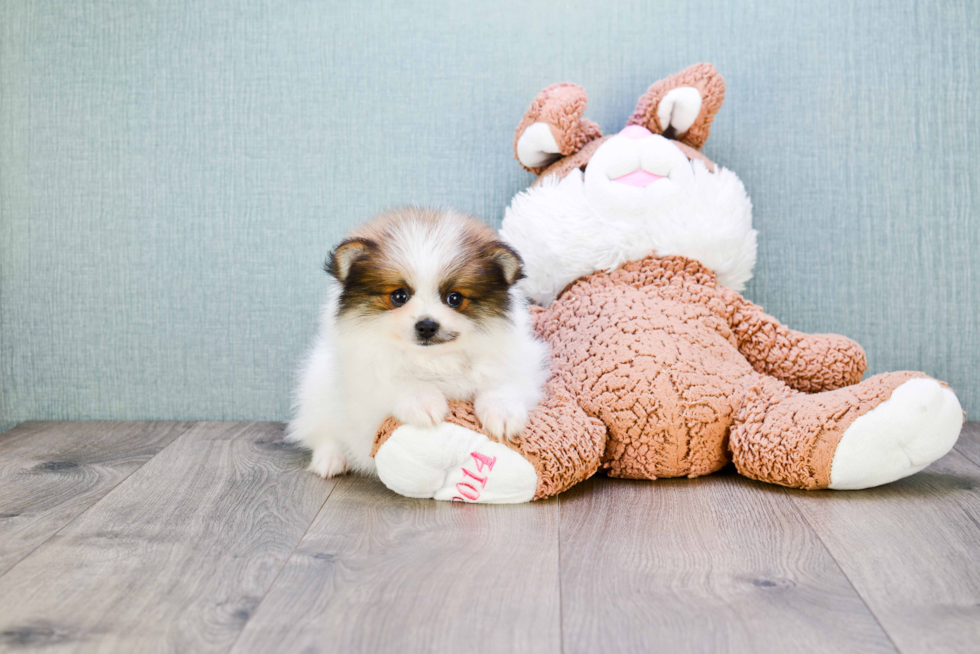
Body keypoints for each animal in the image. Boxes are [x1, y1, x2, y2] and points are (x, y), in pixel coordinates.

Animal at [290, 208, 552, 480]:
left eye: (454, 298)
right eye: (399, 296)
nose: (426, 325)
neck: (433, 358)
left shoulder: (519, 359)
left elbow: (502, 381)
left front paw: (502, 413)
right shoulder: (363, 374)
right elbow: (396, 380)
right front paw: (424, 402)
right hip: (317, 390)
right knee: (322, 434)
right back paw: (331, 460)